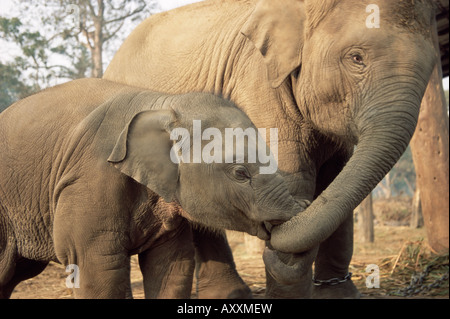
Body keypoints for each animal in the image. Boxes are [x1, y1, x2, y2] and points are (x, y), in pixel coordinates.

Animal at [0, 79, 306, 298]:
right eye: (240, 173)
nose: (303, 204)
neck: (163, 103)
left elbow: (172, 266)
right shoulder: (89, 179)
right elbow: (97, 267)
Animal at [104, 0, 436, 300]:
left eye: (433, 67)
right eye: (356, 57)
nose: (274, 237)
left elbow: (337, 179)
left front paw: (338, 295)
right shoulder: (258, 82)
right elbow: (294, 173)